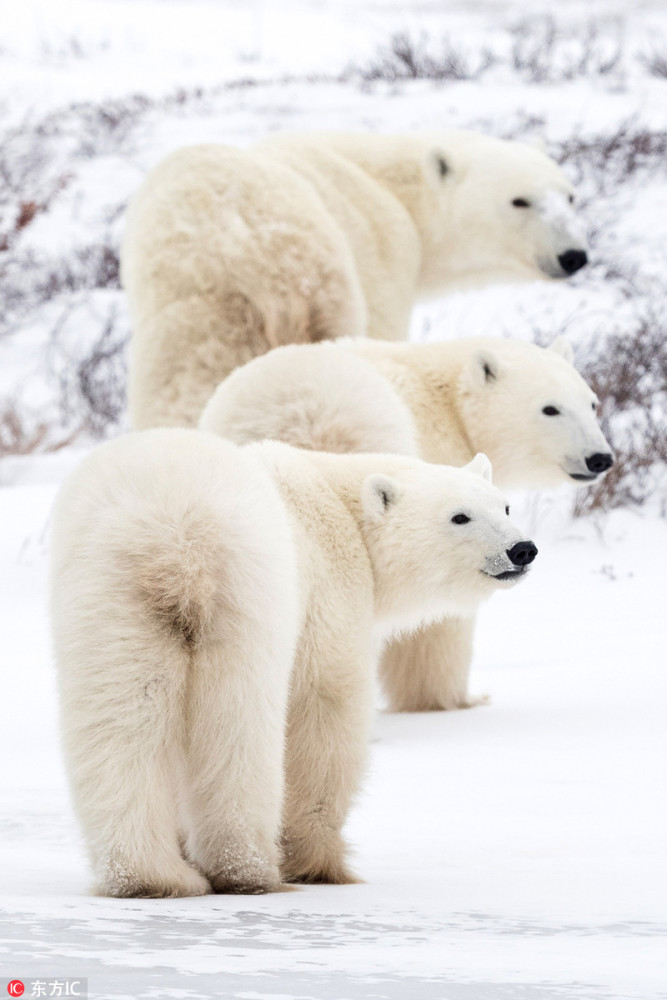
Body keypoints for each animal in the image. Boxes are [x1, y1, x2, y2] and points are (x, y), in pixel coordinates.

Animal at [49, 432, 536, 900]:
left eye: (505, 505)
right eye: (459, 517)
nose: (522, 549)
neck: (341, 502)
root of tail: (170, 533)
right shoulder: (329, 591)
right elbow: (323, 710)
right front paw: (318, 863)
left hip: (109, 596)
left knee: (119, 719)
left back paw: (149, 877)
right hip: (246, 585)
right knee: (239, 720)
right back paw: (246, 869)